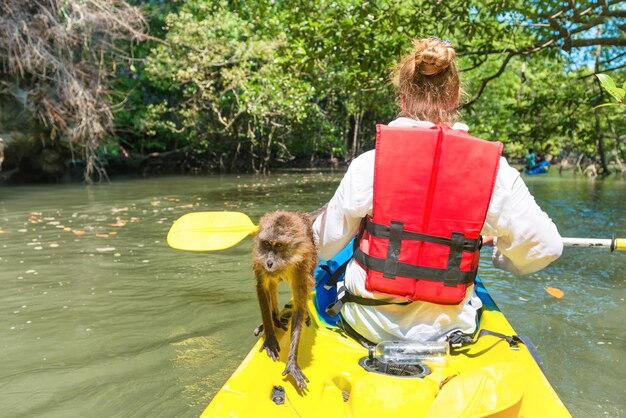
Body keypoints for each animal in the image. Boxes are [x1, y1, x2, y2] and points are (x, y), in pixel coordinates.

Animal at [250, 211, 320, 390]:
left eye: (279, 246)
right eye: (267, 244)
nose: (269, 262)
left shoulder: (302, 265)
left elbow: (299, 306)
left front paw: (292, 362)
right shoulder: (260, 260)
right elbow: (262, 288)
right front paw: (270, 337)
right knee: (271, 284)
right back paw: (274, 317)